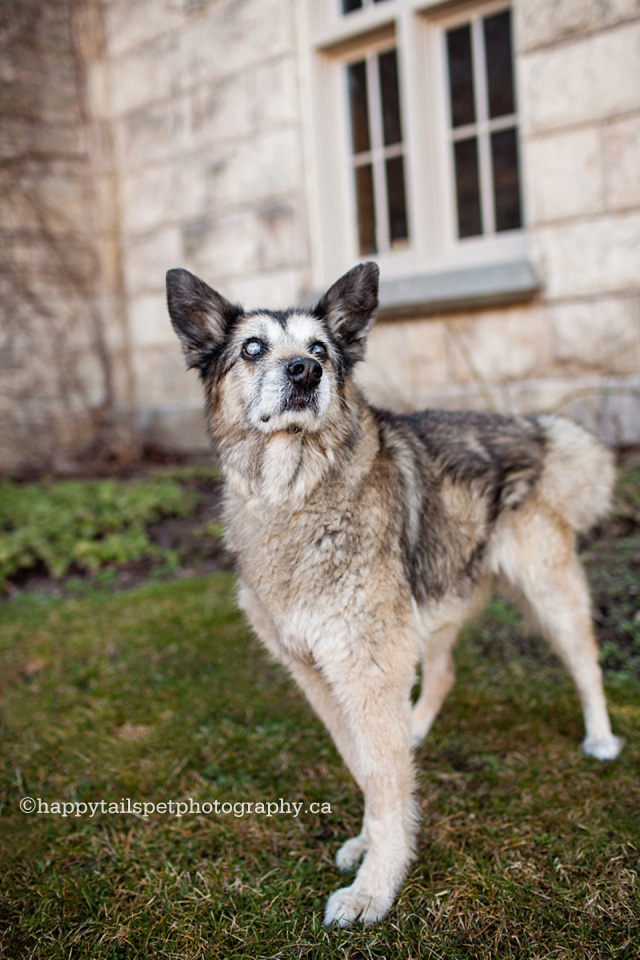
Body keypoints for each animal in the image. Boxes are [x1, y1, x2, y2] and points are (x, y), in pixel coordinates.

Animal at [165, 258, 620, 928]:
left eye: (320, 349)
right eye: (252, 348)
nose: (305, 372)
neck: (296, 492)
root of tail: (532, 426)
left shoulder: (367, 666)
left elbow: (381, 776)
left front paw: (374, 887)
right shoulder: (321, 673)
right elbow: (368, 768)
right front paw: (376, 838)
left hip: (548, 592)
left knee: (586, 663)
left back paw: (601, 738)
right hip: (435, 599)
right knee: (443, 674)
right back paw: (416, 730)